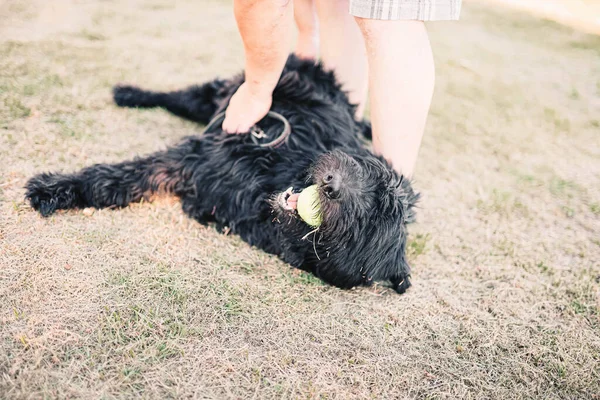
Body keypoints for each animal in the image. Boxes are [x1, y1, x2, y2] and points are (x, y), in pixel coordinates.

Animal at [25, 55, 420, 294]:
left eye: (361, 226)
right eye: (375, 181)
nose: (331, 183)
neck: (264, 192)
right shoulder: (201, 157)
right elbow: (111, 177)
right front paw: (51, 189)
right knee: (181, 98)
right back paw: (129, 93)